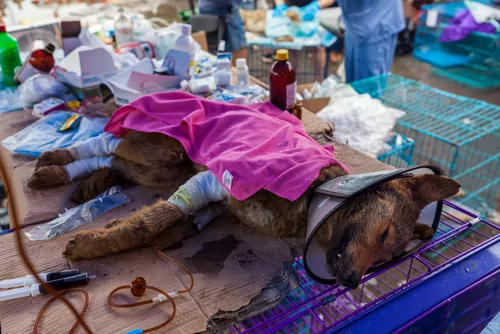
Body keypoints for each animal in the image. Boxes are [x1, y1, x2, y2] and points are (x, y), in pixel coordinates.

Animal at [26, 95, 458, 288]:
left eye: (390, 258)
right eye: (384, 234)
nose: (353, 283)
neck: (315, 193)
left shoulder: (213, 202)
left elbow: (166, 223)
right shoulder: (215, 179)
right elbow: (149, 223)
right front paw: (91, 245)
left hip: (164, 169)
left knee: (113, 160)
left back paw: (71, 175)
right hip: (170, 149)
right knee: (104, 142)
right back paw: (58, 158)